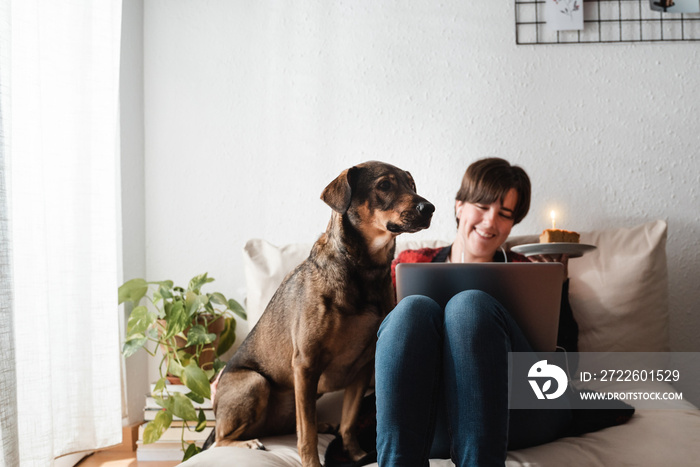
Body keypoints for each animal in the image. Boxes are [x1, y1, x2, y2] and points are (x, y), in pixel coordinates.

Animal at [211, 162, 434, 467]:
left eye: (411, 184)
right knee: (222, 439)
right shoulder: (306, 364)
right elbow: (306, 433)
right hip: (256, 383)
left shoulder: (362, 368)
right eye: (384, 185)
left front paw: (356, 454)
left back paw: (324, 426)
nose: (430, 208)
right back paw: (249, 443)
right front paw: (311, 462)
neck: (364, 269)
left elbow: (349, 421)